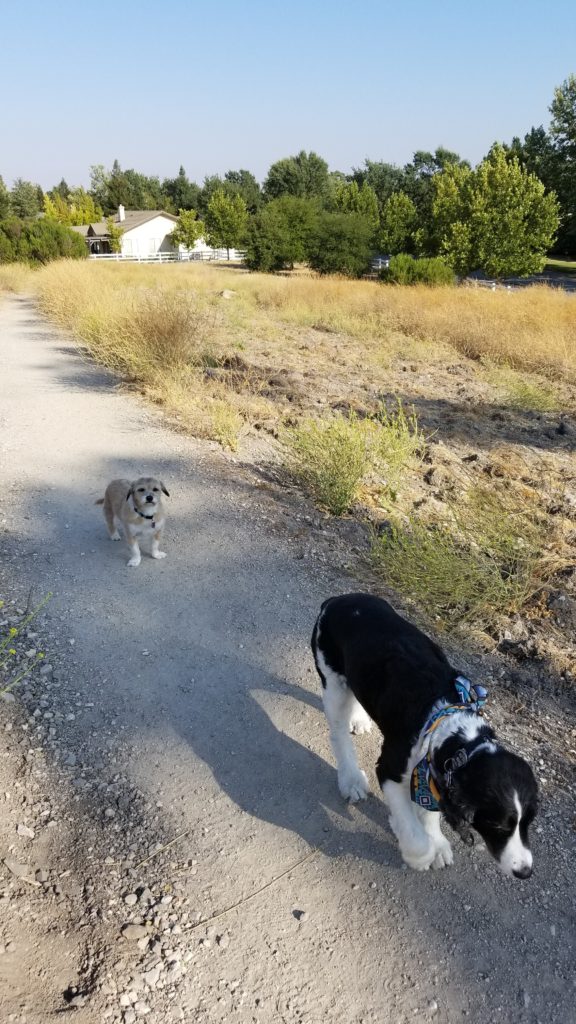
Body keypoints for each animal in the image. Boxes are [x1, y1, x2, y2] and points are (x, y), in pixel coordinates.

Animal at [311, 598, 537, 876]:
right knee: (338, 732)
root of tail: (337, 601)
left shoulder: (432, 769)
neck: (447, 722)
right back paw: (351, 780)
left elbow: (428, 808)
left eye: (528, 822)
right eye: (497, 826)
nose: (525, 872)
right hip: (332, 679)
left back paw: (360, 720)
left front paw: (436, 843)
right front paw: (418, 852)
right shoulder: (389, 769)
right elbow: (413, 831)